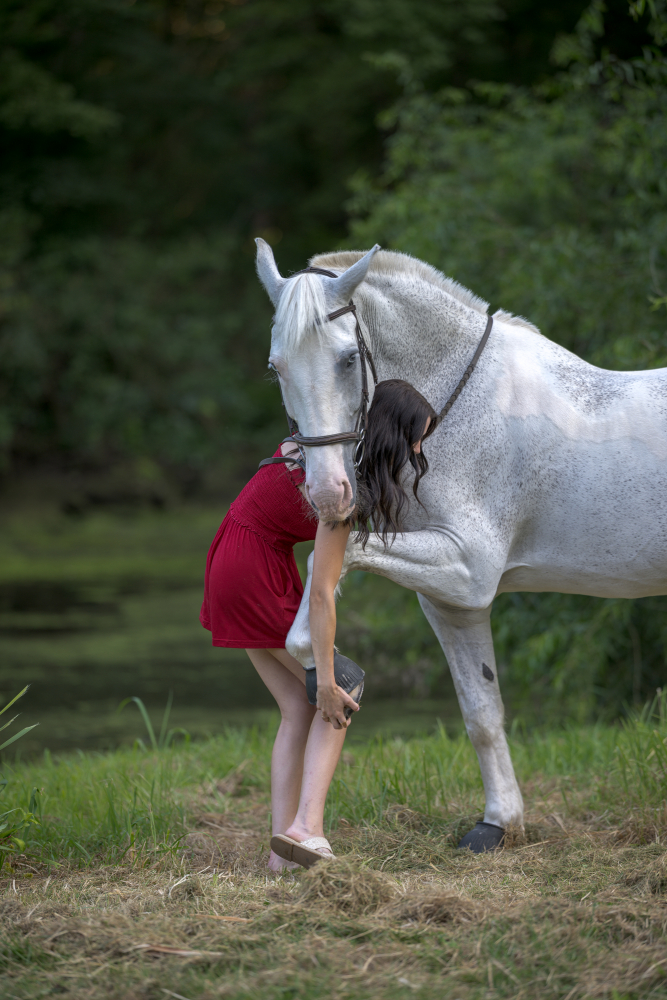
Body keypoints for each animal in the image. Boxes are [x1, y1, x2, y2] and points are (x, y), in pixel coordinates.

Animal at [255, 238, 667, 852]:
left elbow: (333, 564)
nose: (328, 493)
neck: (448, 412)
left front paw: (332, 673)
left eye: (347, 359)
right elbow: (482, 712)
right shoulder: (451, 599)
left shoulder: (468, 568)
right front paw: (497, 825)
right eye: (275, 366)